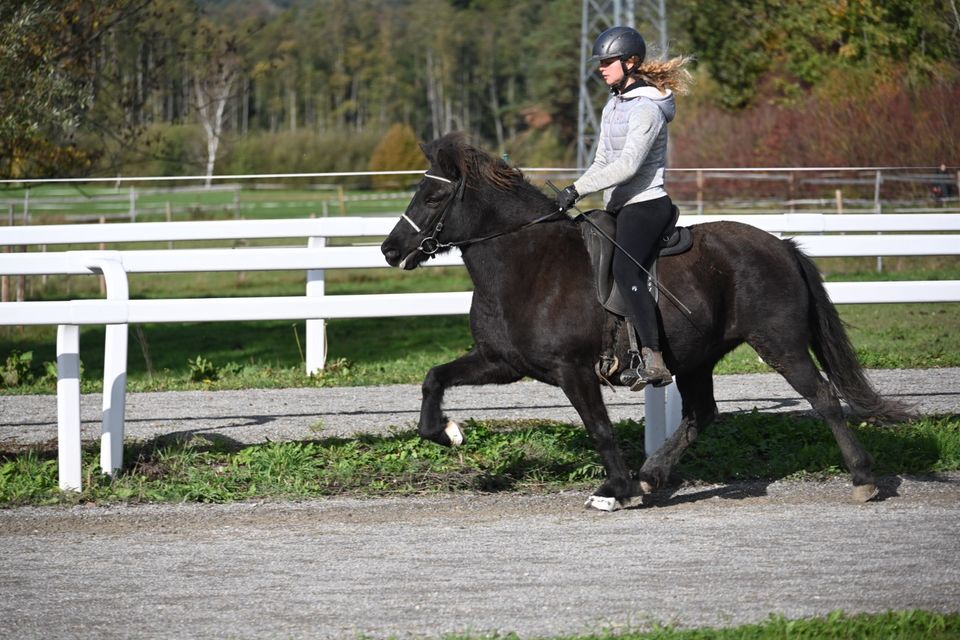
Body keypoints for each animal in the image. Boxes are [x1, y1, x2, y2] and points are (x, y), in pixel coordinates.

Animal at [380, 134, 908, 510]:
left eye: (432, 197)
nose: (390, 250)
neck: (526, 261)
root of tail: (781, 245)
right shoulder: (500, 362)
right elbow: (433, 378)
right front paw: (447, 432)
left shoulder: (573, 370)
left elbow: (599, 428)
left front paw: (617, 489)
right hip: (698, 359)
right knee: (701, 414)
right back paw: (653, 475)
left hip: (781, 345)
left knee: (824, 398)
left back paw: (863, 478)